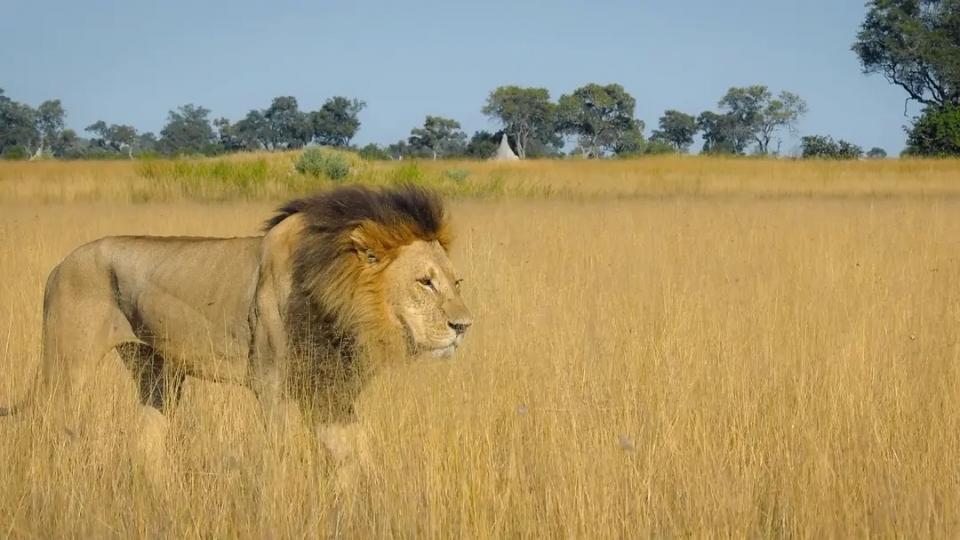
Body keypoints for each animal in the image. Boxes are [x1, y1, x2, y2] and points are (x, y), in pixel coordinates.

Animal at [0, 184, 474, 488]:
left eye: (455, 282)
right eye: (424, 282)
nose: (463, 327)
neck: (338, 304)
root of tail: (60, 264)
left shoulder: (328, 391)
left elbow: (357, 454)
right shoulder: (272, 386)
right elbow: (282, 456)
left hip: (158, 375)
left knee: (148, 441)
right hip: (67, 367)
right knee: (51, 425)